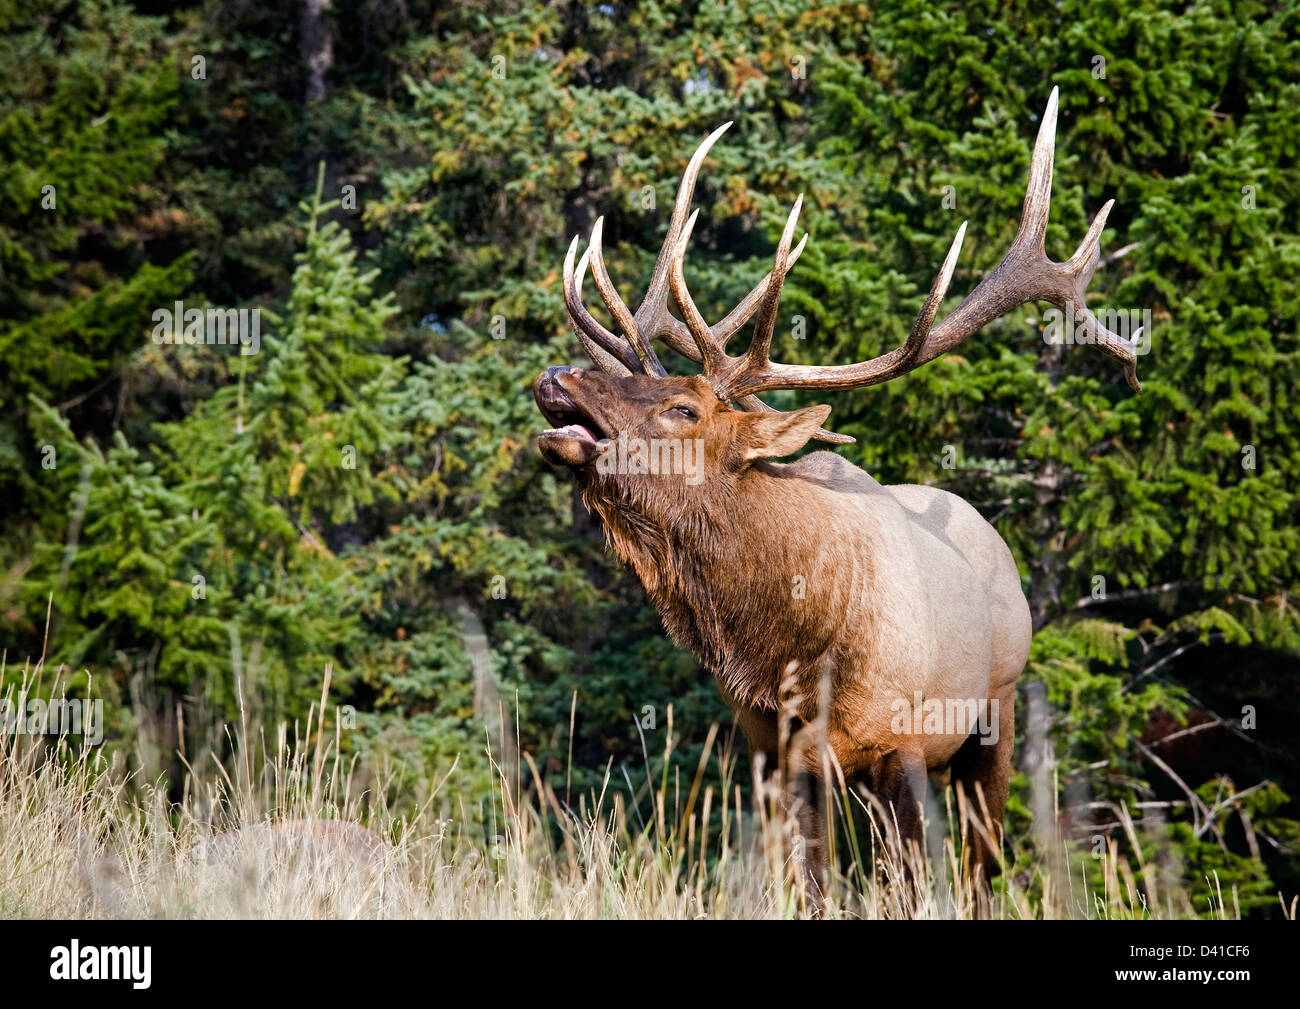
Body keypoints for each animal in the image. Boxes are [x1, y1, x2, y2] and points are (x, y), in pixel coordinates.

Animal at [533, 88, 1144, 904]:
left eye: (684, 408)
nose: (558, 376)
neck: (794, 650)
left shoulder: (905, 746)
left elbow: (913, 886)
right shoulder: (773, 755)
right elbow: (808, 888)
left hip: (997, 717)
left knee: (982, 868)